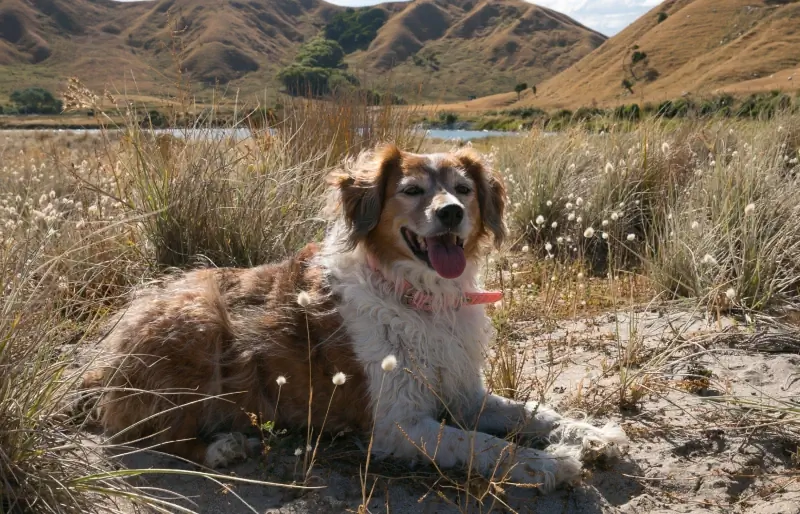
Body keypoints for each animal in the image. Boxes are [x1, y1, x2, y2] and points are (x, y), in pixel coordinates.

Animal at [83, 143, 632, 488]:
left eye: (463, 188)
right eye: (411, 190)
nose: (451, 213)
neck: (419, 298)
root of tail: (102, 360)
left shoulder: (464, 393)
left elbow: (532, 413)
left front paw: (593, 434)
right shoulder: (397, 423)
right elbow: (484, 445)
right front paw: (547, 464)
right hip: (198, 318)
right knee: (144, 436)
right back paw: (221, 449)